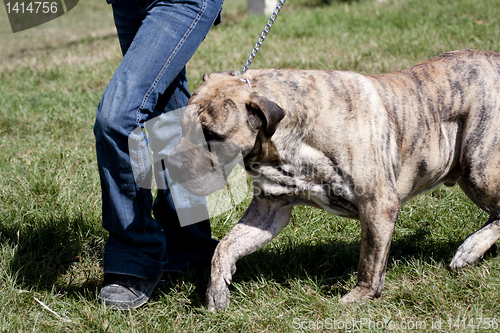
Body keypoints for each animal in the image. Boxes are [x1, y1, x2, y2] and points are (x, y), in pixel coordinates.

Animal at [166, 50, 500, 312]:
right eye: (182, 125)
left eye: (211, 136)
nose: (171, 163)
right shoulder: (270, 208)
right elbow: (226, 245)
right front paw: (216, 291)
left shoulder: (378, 203)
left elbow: (370, 260)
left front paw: (359, 297)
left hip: (478, 167)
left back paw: (470, 248)